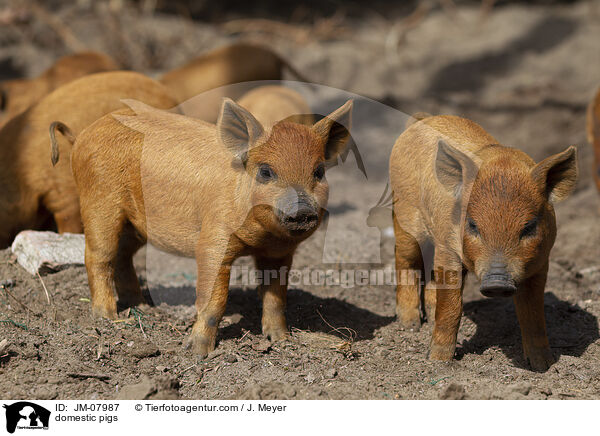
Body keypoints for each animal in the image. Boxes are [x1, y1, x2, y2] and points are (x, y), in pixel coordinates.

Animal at [69, 96, 352, 358]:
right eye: (265, 172)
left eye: (318, 172)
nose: (302, 209)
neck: (260, 239)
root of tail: (84, 134)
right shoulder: (213, 239)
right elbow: (214, 300)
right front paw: (197, 353)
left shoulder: (278, 254)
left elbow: (275, 297)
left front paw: (281, 340)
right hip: (99, 200)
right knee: (98, 256)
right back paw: (108, 318)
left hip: (134, 224)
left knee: (122, 256)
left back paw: (144, 307)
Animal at [390, 113, 576, 372]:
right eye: (472, 224)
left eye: (529, 227)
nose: (497, 282)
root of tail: (421, 120)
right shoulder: (448, 249)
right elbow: (452, 307)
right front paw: (437, 361)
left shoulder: (541, 260)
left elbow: (533, 312)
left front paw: (542, 366)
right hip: (404, 215)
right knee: (405, 260)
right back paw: (409, 325)